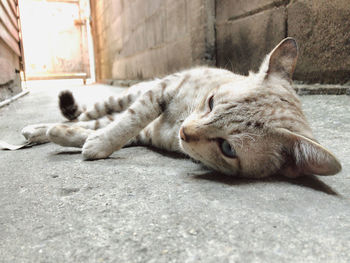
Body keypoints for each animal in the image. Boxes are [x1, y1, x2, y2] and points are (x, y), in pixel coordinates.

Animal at [21, 38, 342, 179]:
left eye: (228, 148)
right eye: (211, 102)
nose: (185, 132)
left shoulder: (146, 131)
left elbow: (101, 131)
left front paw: (89, 143)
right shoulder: (160, 92)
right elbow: (128, 121)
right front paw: (99, 144)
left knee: (90, 122)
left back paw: (45, 131)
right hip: (128, 94)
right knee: (94, 113)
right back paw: (36, 128)